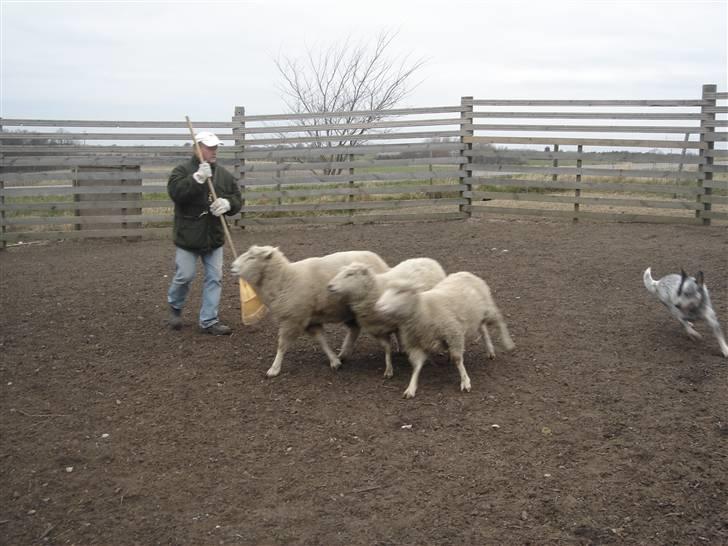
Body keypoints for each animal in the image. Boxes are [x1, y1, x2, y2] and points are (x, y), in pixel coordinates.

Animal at [230, 244, 390, 376]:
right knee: (354, 329)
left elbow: (282, 345)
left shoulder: (292, 319)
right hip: (350, 311)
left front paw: (274, 368)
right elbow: (321, 340)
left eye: (252, 257)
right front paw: (334, 361)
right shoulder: (309, 320)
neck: (284, 280)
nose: (232, 267)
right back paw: (344, 354)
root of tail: (382, 262)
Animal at [376, 270, 512, 396]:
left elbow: (458, 359)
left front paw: (465, 381)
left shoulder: (453, 334)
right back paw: (490, 350)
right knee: (483, 329)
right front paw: (411, 387)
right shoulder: (416, 344)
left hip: (488, 309)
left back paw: (508, 344)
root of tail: (466, 273)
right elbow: (416, 366)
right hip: (476, 316)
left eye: (400, 291)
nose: (378, 305)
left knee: (500, 321)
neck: (424, 309)